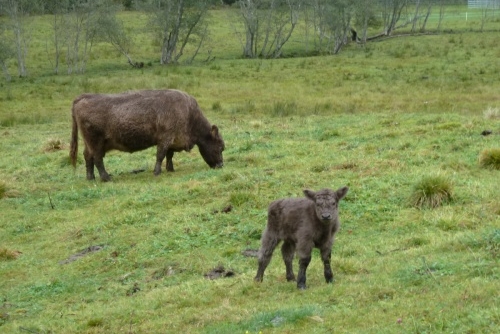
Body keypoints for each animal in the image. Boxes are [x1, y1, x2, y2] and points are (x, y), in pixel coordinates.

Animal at [69, 90, 226, 181]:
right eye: (220, 147)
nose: (221, 165)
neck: (189, 114)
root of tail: (82, 98)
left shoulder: (171, 141)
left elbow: (169, 155)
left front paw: (170, 169)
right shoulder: (164, 139)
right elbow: (160, 155)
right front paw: (157, 172)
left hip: (89, 143)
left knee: (88, 157)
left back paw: (90, 178)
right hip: (96, 143)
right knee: (97, 159)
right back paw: (106, 178)